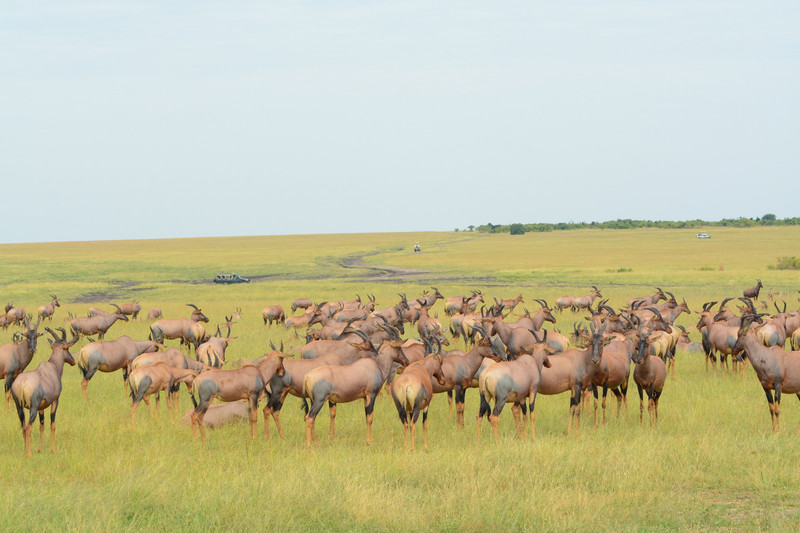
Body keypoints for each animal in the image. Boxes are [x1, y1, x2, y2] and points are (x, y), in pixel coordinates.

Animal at [10, 326, 77, 456]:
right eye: (66, 347)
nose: (73, 361)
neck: (52, 367)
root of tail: (22, 383)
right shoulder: (55, 401)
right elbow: (52, 425)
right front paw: (53, 449)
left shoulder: (41, 407)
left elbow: (42, 426)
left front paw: (40, 449)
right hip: (33, 408)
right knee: (29, 427)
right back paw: (29, 454)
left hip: (19, 407)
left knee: (23, 426)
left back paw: (25, 452)